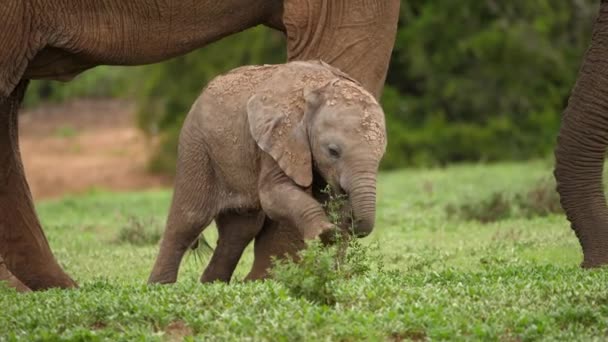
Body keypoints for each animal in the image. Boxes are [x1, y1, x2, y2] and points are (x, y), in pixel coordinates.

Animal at [148, 60, 384, 284]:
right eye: (333, 151)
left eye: (380, 155)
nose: (353, 221)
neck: (318, 88)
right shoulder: (278, 137)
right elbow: (273, 195)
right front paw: (325, 234)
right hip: (197, 146)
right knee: (189, 219)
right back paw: (160, 287)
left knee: (240, 230)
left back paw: (211, 284)